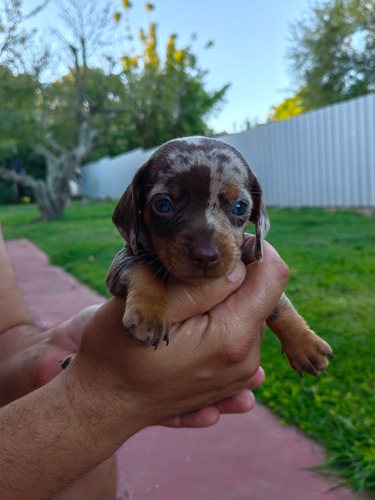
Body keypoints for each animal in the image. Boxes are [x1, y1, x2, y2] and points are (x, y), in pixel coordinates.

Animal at [107, 137, 334, 376]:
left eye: (240, 207)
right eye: (163, 205)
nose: (206, 256)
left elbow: (279, 304)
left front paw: (303, 342)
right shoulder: (123, 261)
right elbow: (143, 268)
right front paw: (150, 313)